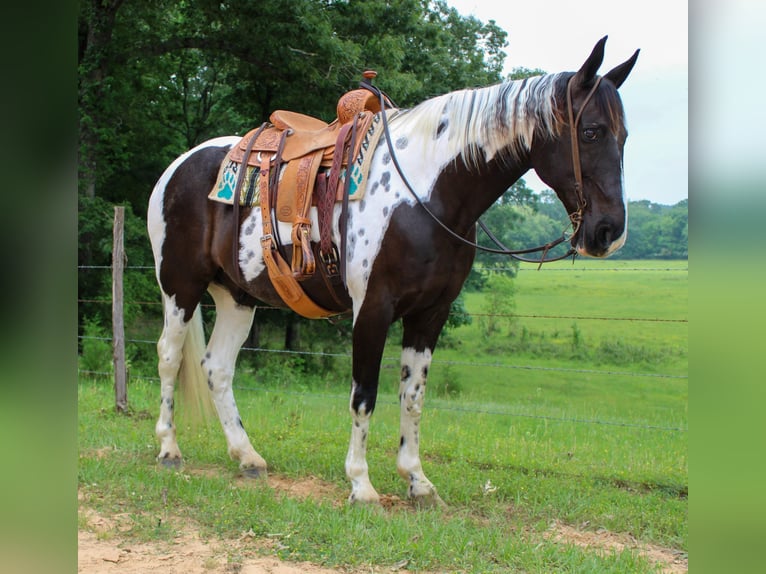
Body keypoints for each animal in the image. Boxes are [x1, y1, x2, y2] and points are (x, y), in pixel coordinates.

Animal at [147, 36, 640, 506]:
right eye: (592, 131)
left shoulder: (430, 313)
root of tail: (176, 168)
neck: (425, 191)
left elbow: (414, 398)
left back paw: (247, 457)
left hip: (237, 296)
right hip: (180, 286)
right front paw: (361, 485)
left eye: (624, 137)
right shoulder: (373, 309)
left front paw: (418, 482)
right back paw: (169, 450)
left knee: (217, 368)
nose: (609, 232)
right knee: (169, 356)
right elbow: (364, 397)